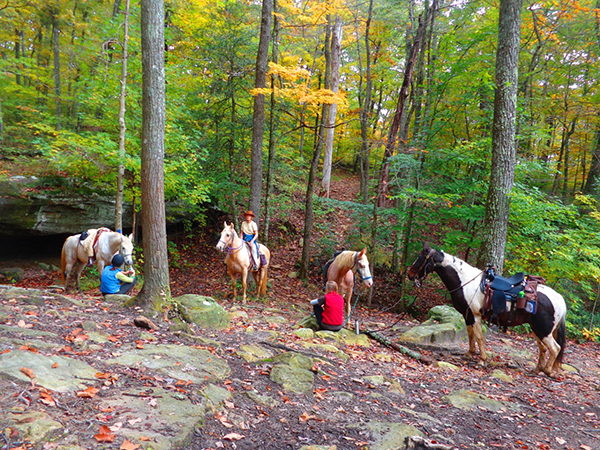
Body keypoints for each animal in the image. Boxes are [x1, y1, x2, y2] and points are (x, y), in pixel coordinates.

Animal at [408, 243, 568, 376]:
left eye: (421, 258)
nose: (409, 274)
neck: (465, 282)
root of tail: (560, 299)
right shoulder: (468, 315)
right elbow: (471, 334)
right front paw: (469, 354)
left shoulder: (475, 315)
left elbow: (479, 336)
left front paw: (481, 360)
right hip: (537, 328)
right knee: (543, 348)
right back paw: (537, 369)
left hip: (543, 330)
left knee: (555, 348)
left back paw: (547, 371)